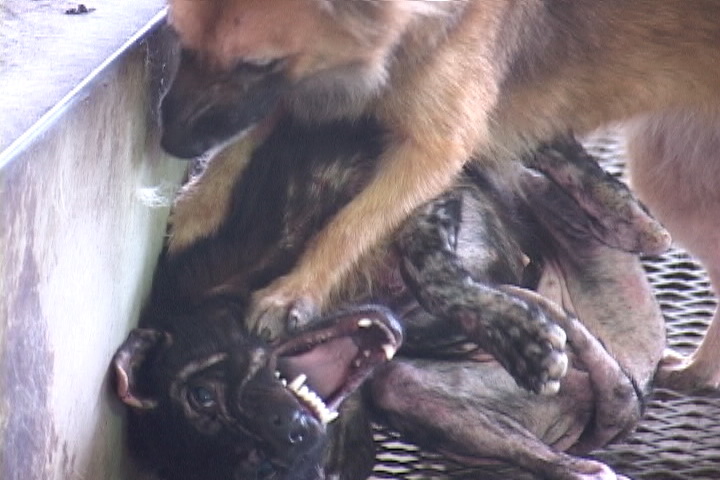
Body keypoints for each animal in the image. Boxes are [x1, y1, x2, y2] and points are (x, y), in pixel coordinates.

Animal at [113, 117, 665, 480]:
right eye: (256, 466)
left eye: (201, 394)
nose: (291, 434)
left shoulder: (412, 179)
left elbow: (419, 255)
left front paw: (523, 343)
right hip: (415, 392)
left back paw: (623, 214)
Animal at [158, 0, 716, 357]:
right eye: (180, 39)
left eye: (258, 62)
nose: (170, 143)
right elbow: (238, 147)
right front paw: (191, 209)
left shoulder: (434, 147)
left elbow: (353, 222)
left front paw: (297, 290)